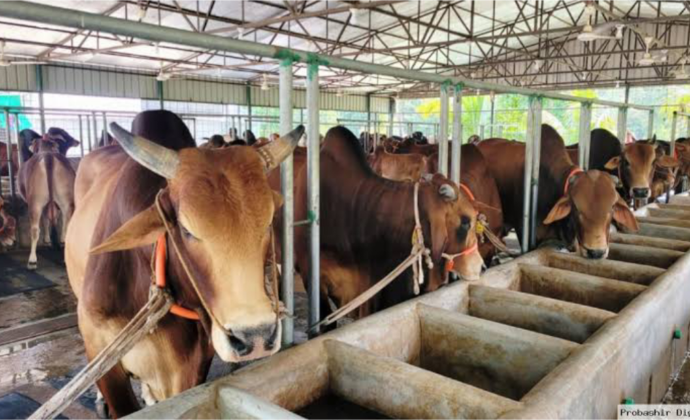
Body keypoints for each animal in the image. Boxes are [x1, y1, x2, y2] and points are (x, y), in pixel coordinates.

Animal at [18, 136, 76, 269]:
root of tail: (49, 157)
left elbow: (44, 220)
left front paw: (47, 240)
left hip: (35, 201)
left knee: (34, 230)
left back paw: (32, 261)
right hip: (66, 201)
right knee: (67, 225)